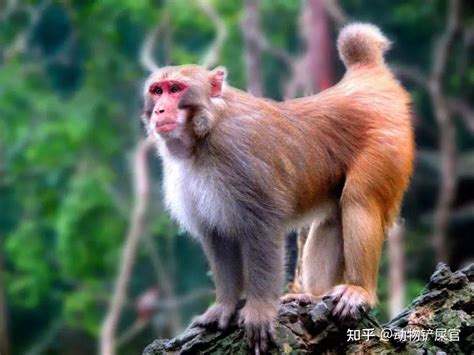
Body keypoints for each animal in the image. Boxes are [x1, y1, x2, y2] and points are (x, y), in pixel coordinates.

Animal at [141, 23, 414, 354]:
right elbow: (218, 237)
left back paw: (358, 289)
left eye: (176, 89)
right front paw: (225, 305)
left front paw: (259, 310)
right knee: (334, 218)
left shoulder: (239, 161)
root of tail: (365, 76)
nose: (160, 110)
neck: (205, 133)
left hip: (387, 142)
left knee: (359, 200)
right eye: (157, 91)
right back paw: (312, 296)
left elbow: (262, 228)